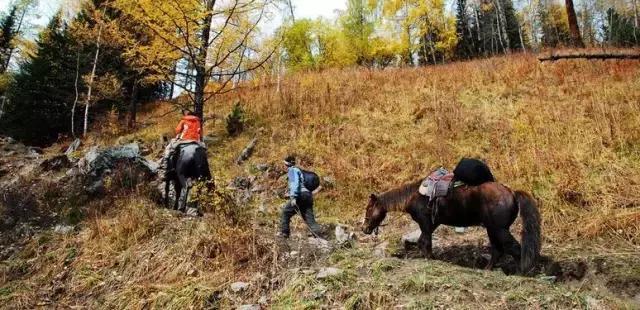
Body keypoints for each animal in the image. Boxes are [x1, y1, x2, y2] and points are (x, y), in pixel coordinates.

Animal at [362, 179, 536, 274]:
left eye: (369, 208)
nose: (364, 229)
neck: (413, 196)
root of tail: (512, 193)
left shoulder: (425, 222)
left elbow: (425, 242)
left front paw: (430, 259)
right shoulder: (432, 224)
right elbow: (422, 241)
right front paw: (429, 258)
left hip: (499, 230)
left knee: (515, 248)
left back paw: (520, 272)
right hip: (492, 229)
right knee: (497, 251)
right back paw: (487, 269)